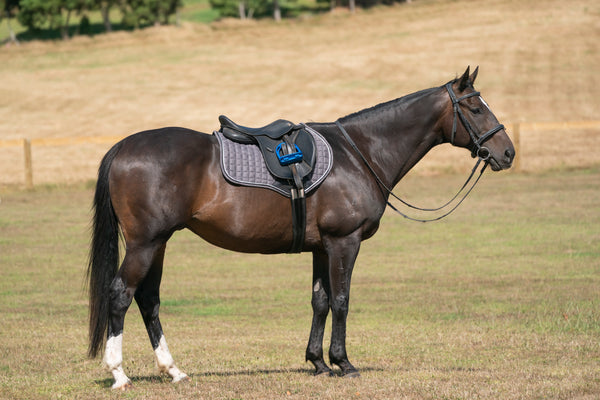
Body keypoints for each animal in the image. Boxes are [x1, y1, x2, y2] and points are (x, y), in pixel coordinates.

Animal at [88, 67, 516, 390]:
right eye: (475, 107)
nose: (508, 152)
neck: (359, 153)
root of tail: (123, 147)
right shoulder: (344, 242)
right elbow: (341, 300)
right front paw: (344, 363)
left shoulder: (322, 247)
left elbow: (320, 301)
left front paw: (318, 362)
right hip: (145, 244)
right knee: (121, 295)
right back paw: (119, 374)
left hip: (157, 244)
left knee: (148, 300)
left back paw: (173, 370)